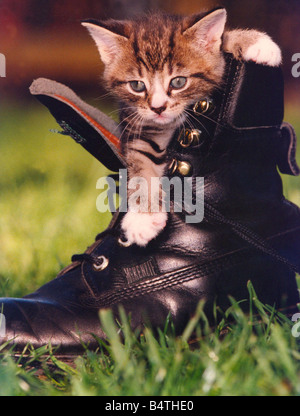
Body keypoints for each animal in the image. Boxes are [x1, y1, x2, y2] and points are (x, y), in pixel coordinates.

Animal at [82, 6, 282, 245]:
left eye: (178, 82)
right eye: (137, 85)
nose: (158, 107)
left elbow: (220, 47)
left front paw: (255, 42)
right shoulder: (138, 128)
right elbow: (140, 163)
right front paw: (143, 217)